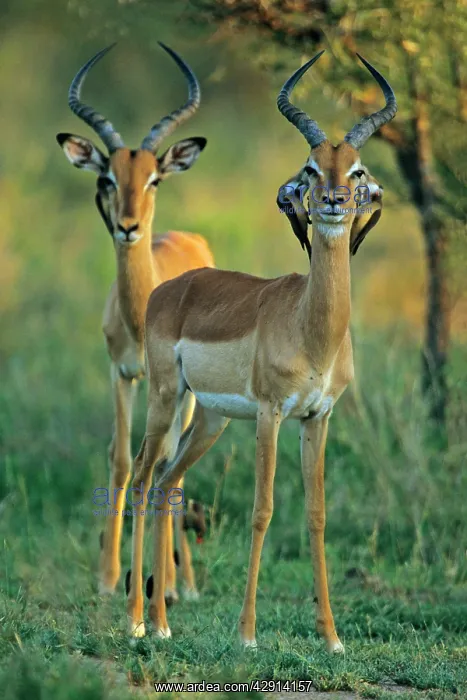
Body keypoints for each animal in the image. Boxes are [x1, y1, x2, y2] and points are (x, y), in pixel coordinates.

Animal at [57, 43, 214, 602]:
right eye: (108, 178)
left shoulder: (168, 388)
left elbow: (162, 464)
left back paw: (180, 584)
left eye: (154, 178)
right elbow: (122, 459)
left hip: (190, 396)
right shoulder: (120, 374)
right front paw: (107, 578)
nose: (128, 227)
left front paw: (160, 585)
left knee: (175, 468)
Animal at [125, 51, 396, 648]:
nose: (334, 202)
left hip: (208, 420)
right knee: (139, 479)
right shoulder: (272, 415)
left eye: (357, 168)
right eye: (311, 167)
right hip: (164, 399)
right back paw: (134, 621)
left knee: (167, 483)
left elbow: (316, 514)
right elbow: (262, 508)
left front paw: (332, 636)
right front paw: (248, 633)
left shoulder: (318, 417)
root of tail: (171, 288)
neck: (311, 330)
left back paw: (162, 623)